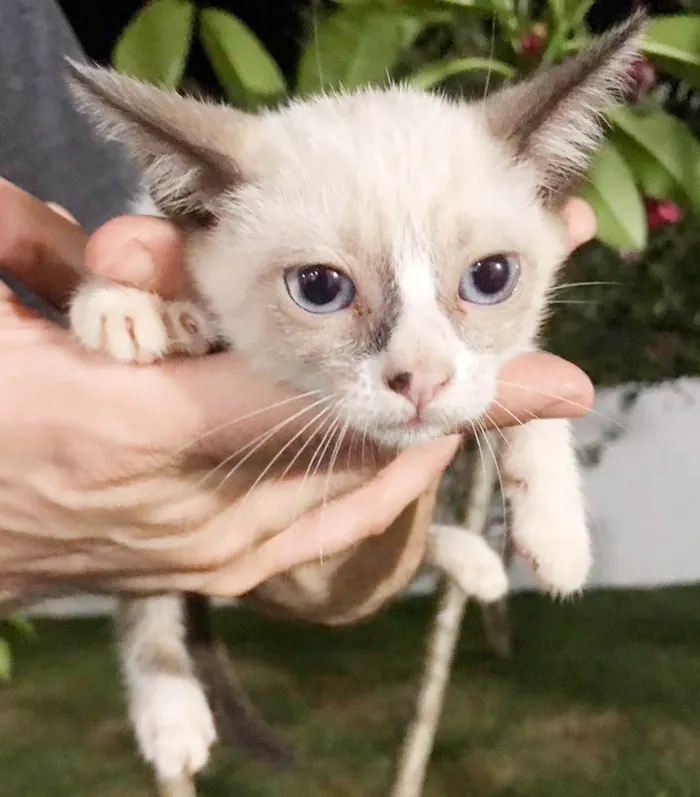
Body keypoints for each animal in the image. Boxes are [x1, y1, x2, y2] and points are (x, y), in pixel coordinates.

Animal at [65, 9, 644, 788]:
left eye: (491, 277)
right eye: (319, 288)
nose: (421, 378)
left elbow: (528, 388)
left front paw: (558, 536)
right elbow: (143, 593)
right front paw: (127, 307)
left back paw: (477, 560)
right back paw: (172, 715)